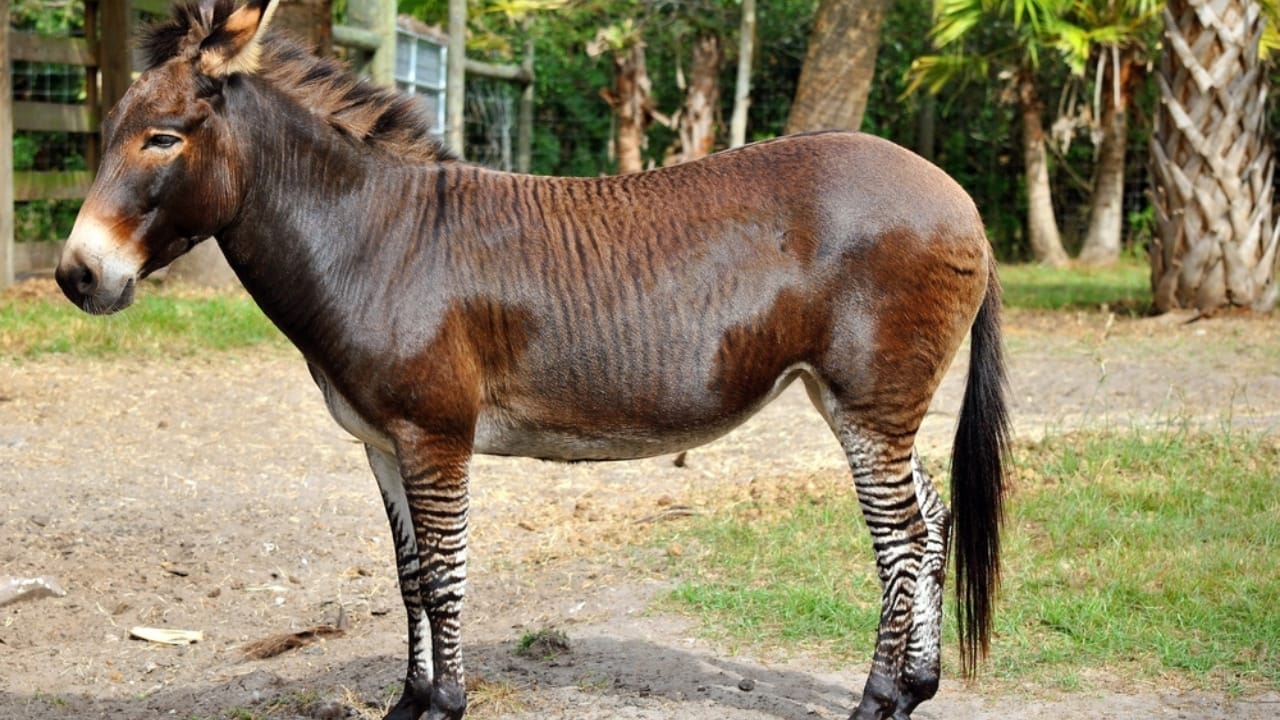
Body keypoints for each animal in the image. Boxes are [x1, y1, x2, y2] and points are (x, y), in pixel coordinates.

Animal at [54, 1, 1010, 718]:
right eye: (110, 132)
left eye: (163, 139)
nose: (75, 277)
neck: (373, 240)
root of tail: (960, 195)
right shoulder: (381, 442)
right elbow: (408, 579)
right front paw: (409, 703)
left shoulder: (435, 436)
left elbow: (444, 578)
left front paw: (447, 706)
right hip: (862, 401)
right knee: (932, 521)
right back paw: (917, 688)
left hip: (869, 398)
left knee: (903, 538)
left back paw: (878, 700)